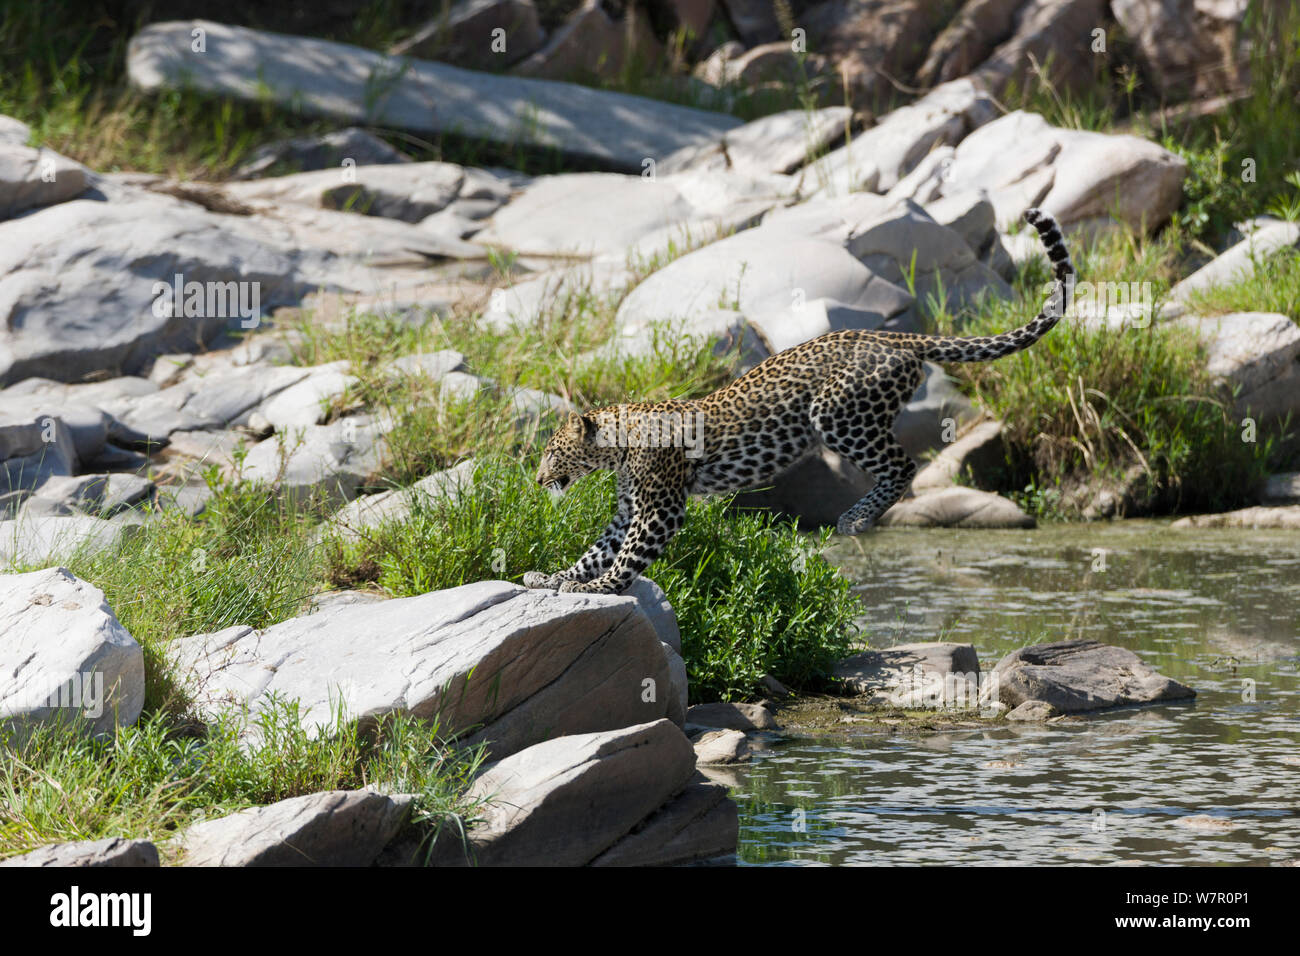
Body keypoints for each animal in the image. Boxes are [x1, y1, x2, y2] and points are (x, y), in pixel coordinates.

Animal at [522, 209, 1071, 595]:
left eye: (551, 452)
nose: (538, 480)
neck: (618, 444)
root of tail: (896, 337)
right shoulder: (628, 509)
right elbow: (598, 548)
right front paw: (553, 577)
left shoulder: (660, 508)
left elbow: (625, 558)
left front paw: (600, 587)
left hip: (837, 415)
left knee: (904, 464)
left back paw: (854, 518)